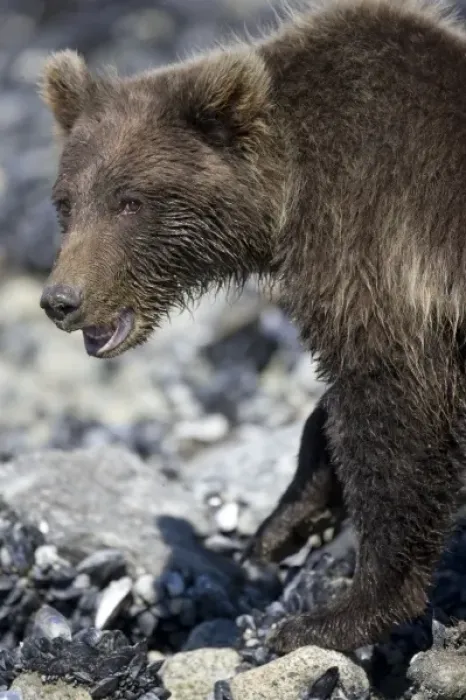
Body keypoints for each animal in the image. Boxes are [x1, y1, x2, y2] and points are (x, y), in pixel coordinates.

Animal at [38, 0, 466, 653]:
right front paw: (286, 521)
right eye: (66, 203)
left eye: (129, 201)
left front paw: (335, 612)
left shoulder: (381, 239)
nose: (61, 300)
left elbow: (392, 417)